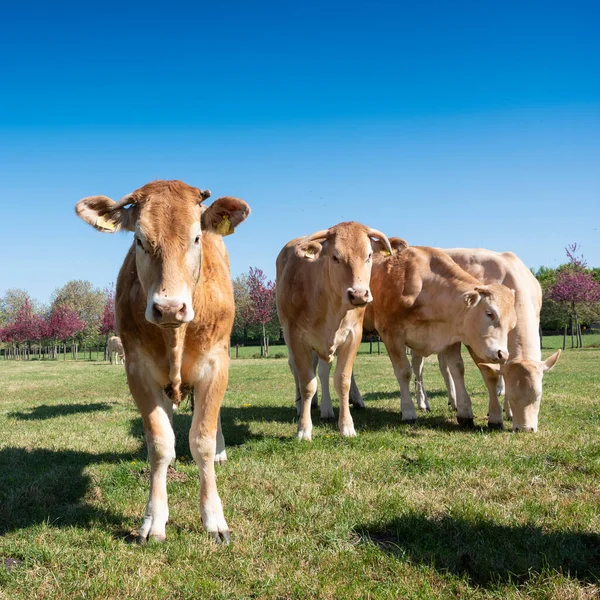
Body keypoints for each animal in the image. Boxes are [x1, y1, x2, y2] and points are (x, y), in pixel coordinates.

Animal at [75, 179, 251, 544]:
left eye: (196, 237)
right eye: (139, 240)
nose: (169, 307)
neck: (175, 337)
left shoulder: (215, 366)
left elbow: (201, 439)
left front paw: (214, 519)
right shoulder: (137, 369)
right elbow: (158, 442)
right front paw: (154, 518)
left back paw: (220, 452)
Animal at [276, 223, 394, 438]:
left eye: (369, 255)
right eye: (335, 257)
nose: (358, 294)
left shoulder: (353, 336)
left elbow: (342, 381)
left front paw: (347, 426)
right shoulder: (296, 338)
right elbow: (307, 383)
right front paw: (303, 428)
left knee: (322, 370)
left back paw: (324, 407)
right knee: (295, 369)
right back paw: (302, 406)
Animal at [364, 241, 516, 424]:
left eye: (512, 324)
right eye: (489, 313)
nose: (503, 354)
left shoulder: (449, 337)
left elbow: (457, 369)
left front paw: (464, 412)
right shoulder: (391, 333)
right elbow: (404, 372)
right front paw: (408, 411)